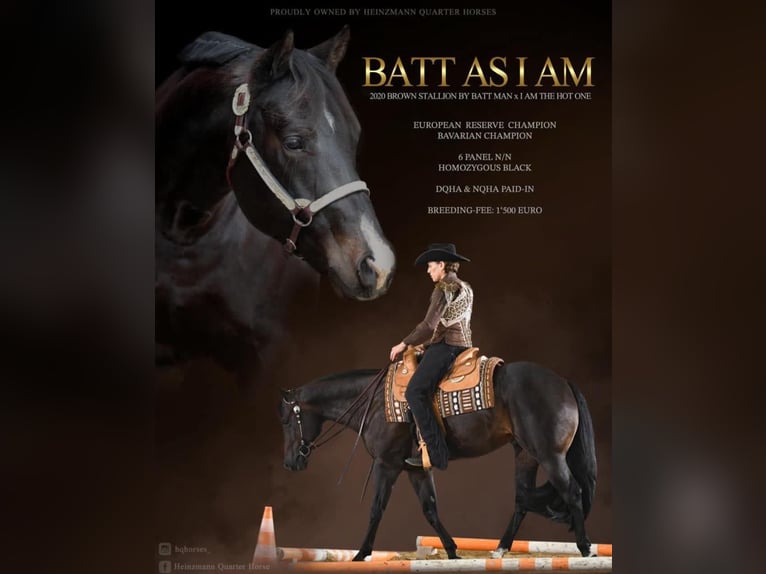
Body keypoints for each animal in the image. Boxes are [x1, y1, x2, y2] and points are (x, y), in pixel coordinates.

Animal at [278, 361, 597, 560]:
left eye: (287, 421)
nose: (290, 462)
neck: (377, 404)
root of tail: (563, 382)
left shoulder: (386, 464)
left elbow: (376, 509)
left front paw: (361, 554)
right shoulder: (416, 469)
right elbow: (430, 508)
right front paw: (452, 550)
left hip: (550, 455)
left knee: (572, 491)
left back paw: (584, 547)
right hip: (525, 455)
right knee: (522, 500)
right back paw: (501, 548)